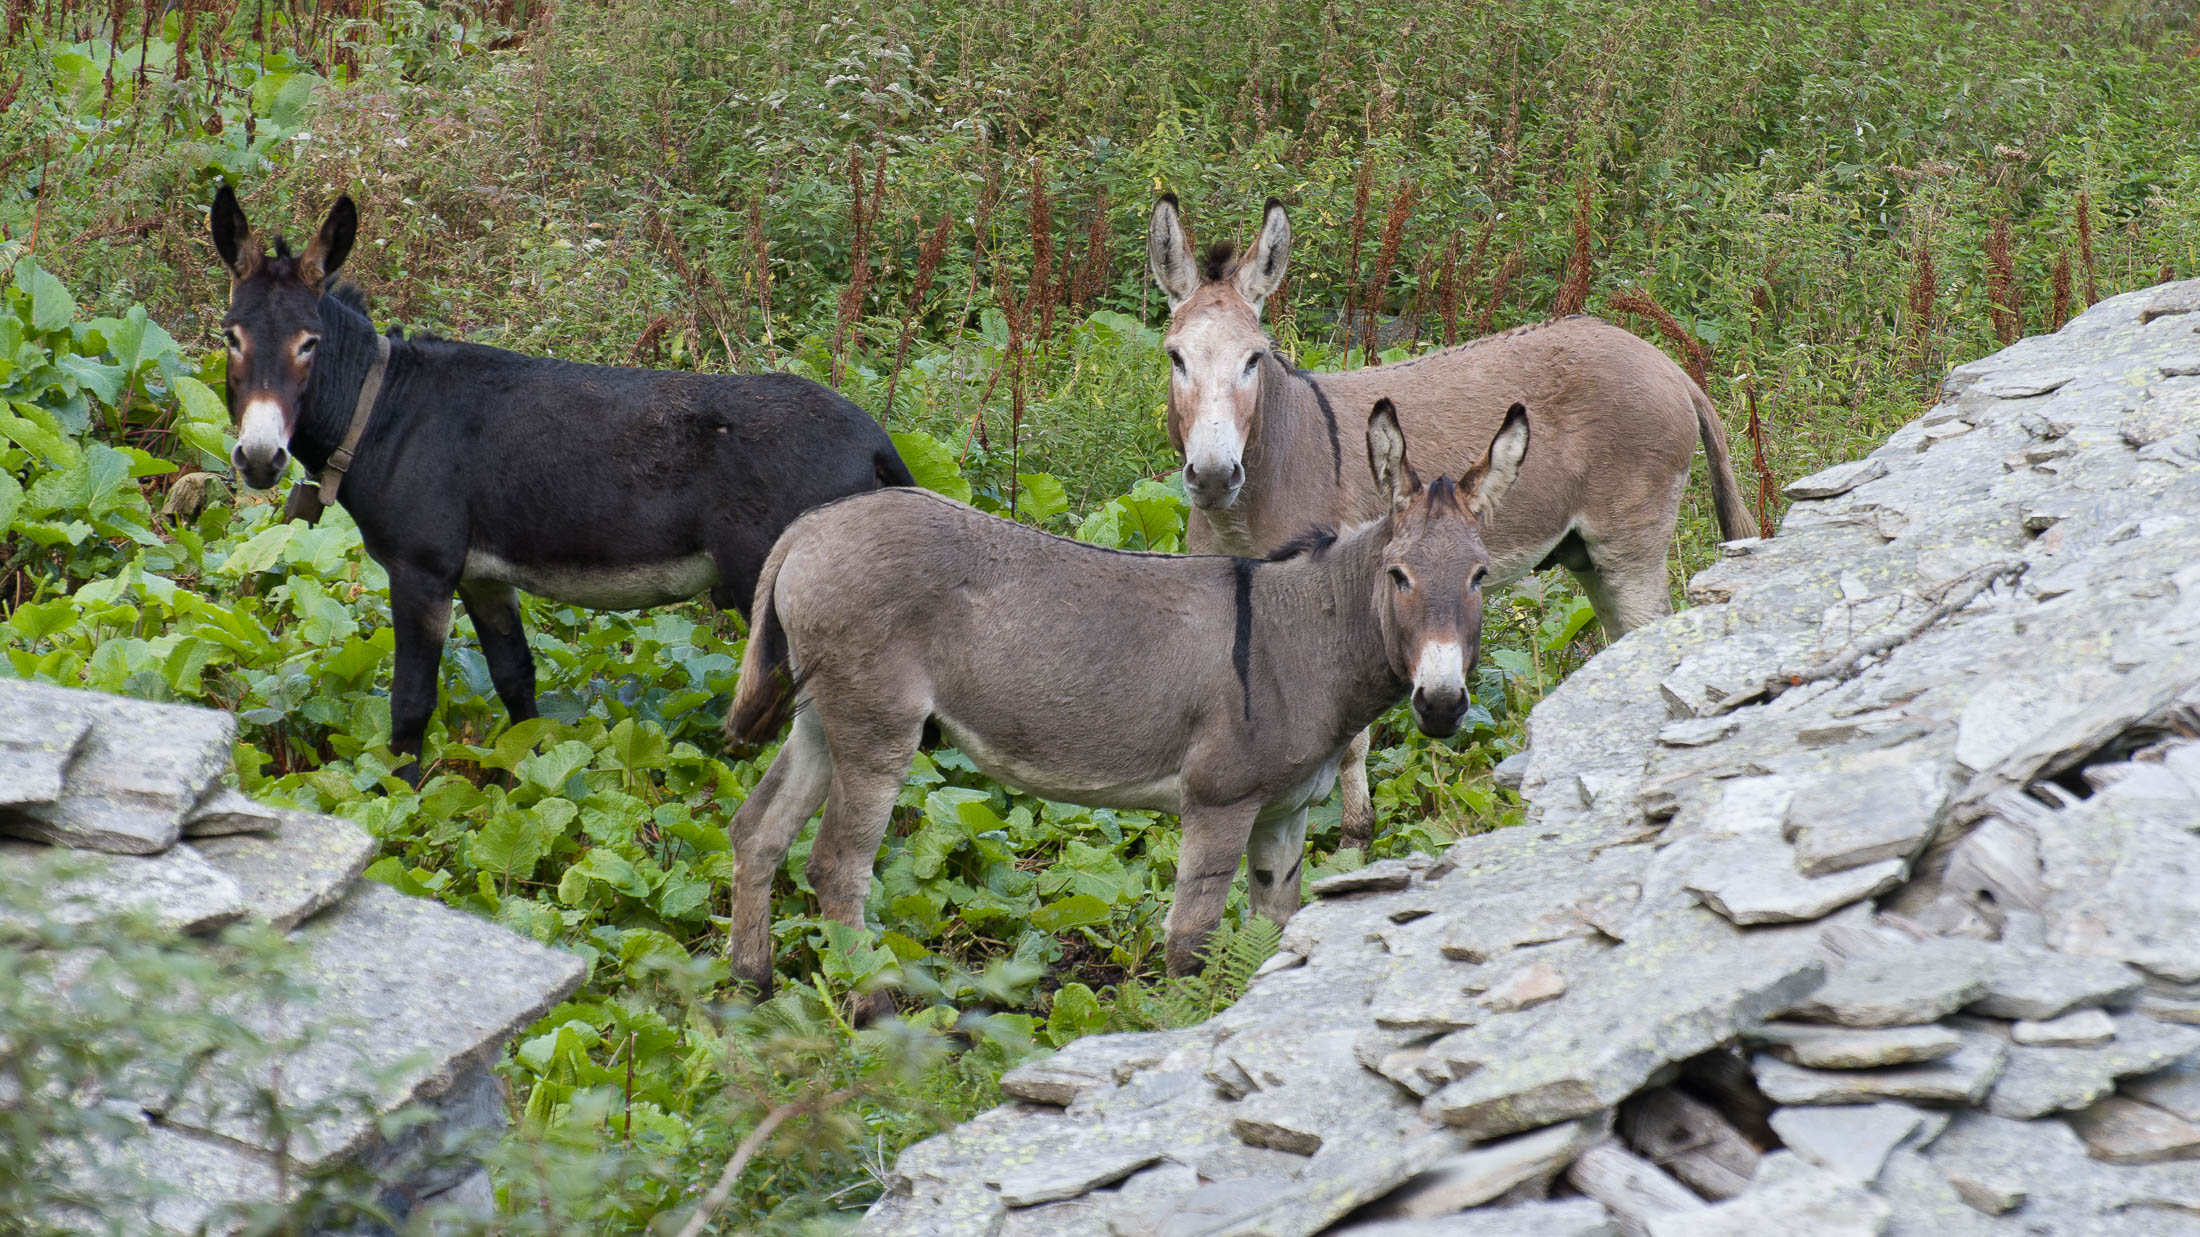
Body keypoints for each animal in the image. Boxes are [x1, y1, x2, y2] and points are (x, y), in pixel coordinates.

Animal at [208, 187, 913, 780]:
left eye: (310, 343)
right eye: (230, 336)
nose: (261, 458)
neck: (382, 409)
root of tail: (874, 437)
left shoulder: (421, 570)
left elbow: (410, 703)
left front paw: (397, 807)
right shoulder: (483, 576)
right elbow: (517, 682)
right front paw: (532, 781)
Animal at [721, 397, 1528, 1016]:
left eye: (1480, 575)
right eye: (1399, 575)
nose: (1443, 704)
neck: (1306, 634)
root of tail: (811, 528)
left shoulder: (1286, 810)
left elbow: (1273, 926)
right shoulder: (1219, 804)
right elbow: (1191, 941)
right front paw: (1177, 1029)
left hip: (822, 717)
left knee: (757, 831)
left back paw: (749, 989)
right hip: (878, 728)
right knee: (836, 864)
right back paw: (873, 1010)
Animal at [1146, 194, 1759, 850]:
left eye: (1254, 360)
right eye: (1175, 358)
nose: (1214, 476)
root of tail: (1666, 362)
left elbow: (1349, 744)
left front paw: (1354, 842)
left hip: (1631, 550)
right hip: (1591, 559)